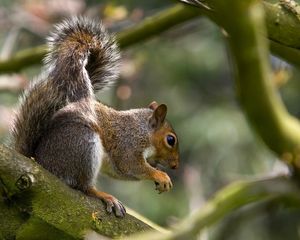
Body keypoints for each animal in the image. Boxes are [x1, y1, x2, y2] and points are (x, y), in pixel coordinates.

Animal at [11, 17, 179, 218]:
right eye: (170, 140)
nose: (176, 165)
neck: (142, 130)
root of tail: (40, 162)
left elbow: (122, 171)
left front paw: (157, 170)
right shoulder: (128, 144)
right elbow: (131, 165)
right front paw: (160, 175)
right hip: (83, 144)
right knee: (82, 187)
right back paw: (104, 195)